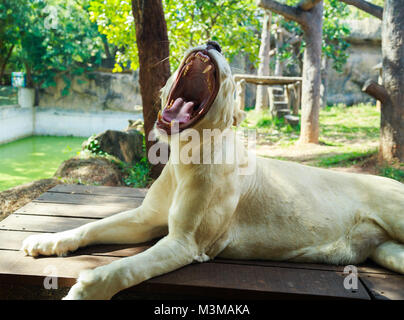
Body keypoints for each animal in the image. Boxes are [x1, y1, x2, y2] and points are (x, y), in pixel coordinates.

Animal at [21, 41, 404, 298]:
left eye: (231, 73)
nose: (213, 44)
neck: (183, 156)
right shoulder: (144, 219)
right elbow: (91, 227)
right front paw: (45, 240)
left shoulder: (186, 244)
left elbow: (124, 268)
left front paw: (84, 290)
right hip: (388, 252)